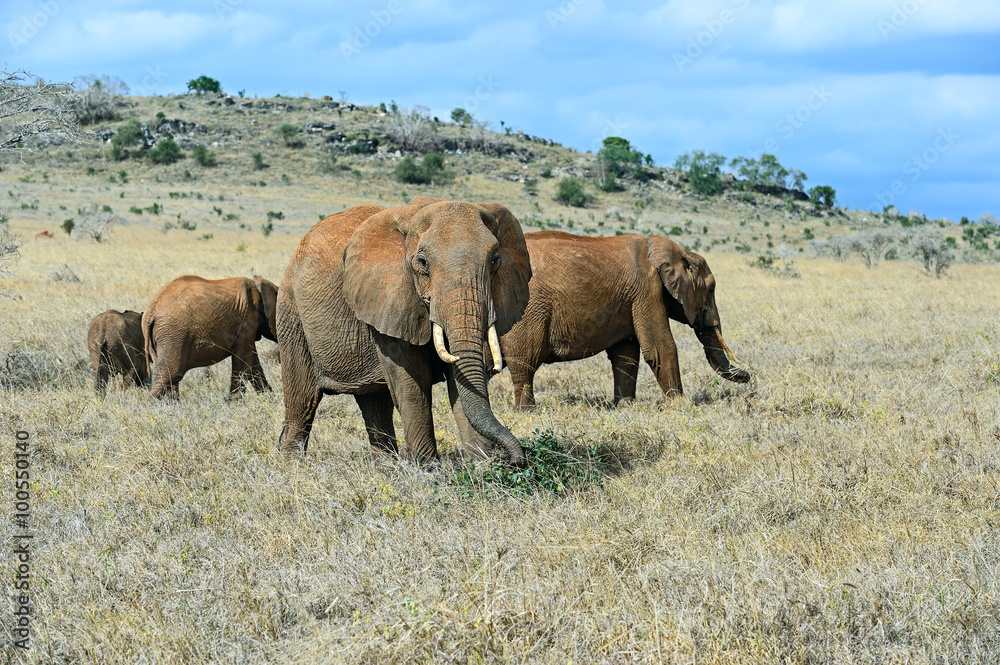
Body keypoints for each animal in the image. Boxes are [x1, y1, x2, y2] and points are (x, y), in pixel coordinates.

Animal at [142, 275, 278, 399]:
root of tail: (150, 311)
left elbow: (254, 364)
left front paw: (270, 399)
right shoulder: (246, 321)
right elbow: (244, 362)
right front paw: (234, 404)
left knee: (171, 380)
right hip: (172, 334)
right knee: (171, 375)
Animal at [276, 197, 532, 467]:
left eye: (495, 260)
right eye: (422, 262)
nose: (516, 460)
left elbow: (460, 379)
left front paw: (480, 466)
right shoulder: (389, 299)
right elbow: (412, 381)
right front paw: (428, 470)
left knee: (375, 404)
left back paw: (385, 469)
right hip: (291, 312)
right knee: (302, 401)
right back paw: (292, 466)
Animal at [498, 231, 750, 409]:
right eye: (711, 290)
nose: (748, 375)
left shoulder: (631, 298)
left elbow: (626, 354)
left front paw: (626, 407)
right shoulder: (647, 290)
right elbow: (661, 348)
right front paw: (680, 406)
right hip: (528, 310)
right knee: (525, 362)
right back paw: (526, 412)